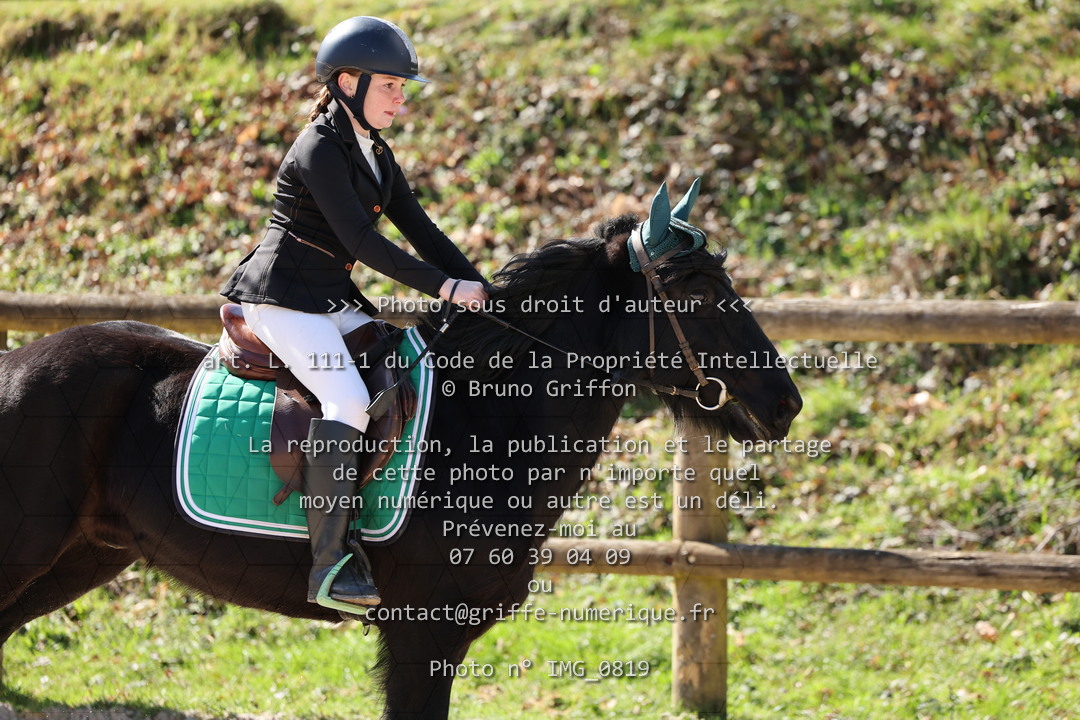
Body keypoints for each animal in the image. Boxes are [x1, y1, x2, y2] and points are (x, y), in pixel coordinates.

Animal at [0, 190, 801, 718]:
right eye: (699, 294)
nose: (786, 404)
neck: (486, 420)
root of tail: (17, 363)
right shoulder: (422, 634)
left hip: (82, 555)